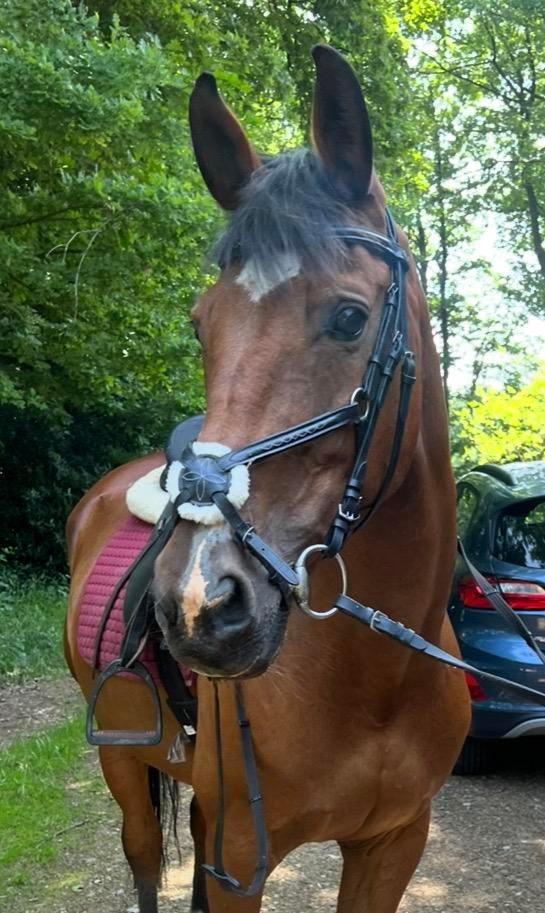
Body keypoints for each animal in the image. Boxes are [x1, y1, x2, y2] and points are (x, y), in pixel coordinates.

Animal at [65, 44, 470, 913]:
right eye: (200, 325)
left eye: (349, 317)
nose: (196, 602)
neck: (374, 684)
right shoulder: (239, 854)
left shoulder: (392, 844)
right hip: (123, 764)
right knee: (142, 857)